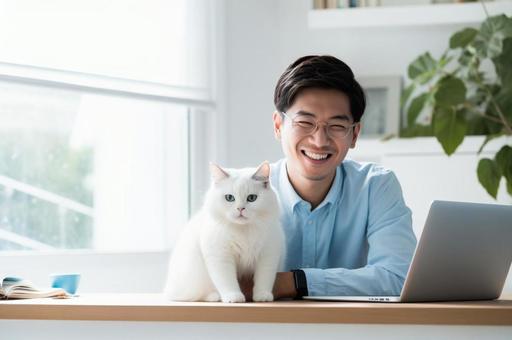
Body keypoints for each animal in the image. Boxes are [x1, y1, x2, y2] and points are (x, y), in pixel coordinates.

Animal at [164, 162, 284, 302]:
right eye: (229, 198)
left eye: (252, 198)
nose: (240, 209)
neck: (244, 231)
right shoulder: (220, 257)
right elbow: (227, 281)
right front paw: (234, 297)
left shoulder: (268, 255)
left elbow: (264, 279)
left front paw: (262, 296)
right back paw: (214, 296)